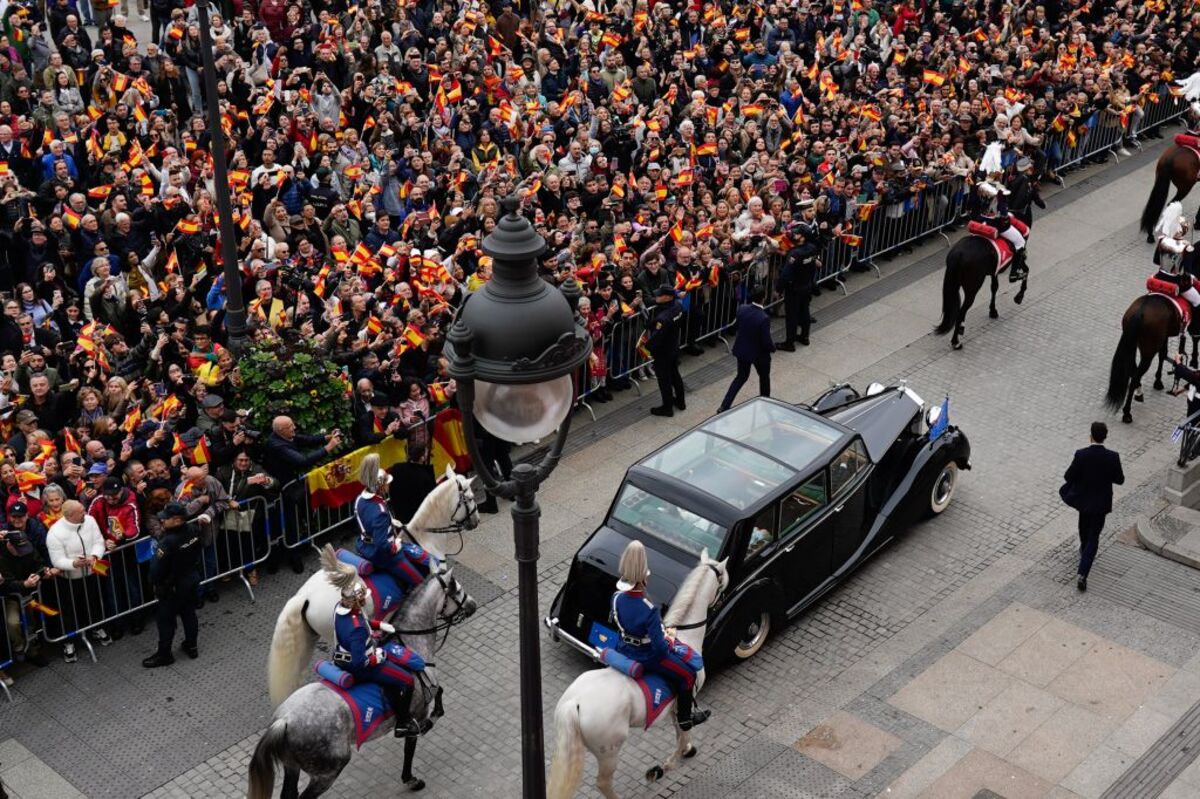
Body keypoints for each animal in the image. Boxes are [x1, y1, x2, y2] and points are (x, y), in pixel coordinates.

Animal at [547, 547, 729, 796]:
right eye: (723, 580)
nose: (723, 598)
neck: (685, 638)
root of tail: (574, 703)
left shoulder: (673, 707)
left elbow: (680, 733)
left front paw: (681, 754)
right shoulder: (683, 700)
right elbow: (682, 731)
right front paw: (669, 763)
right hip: (609, 750)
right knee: (603, 783)